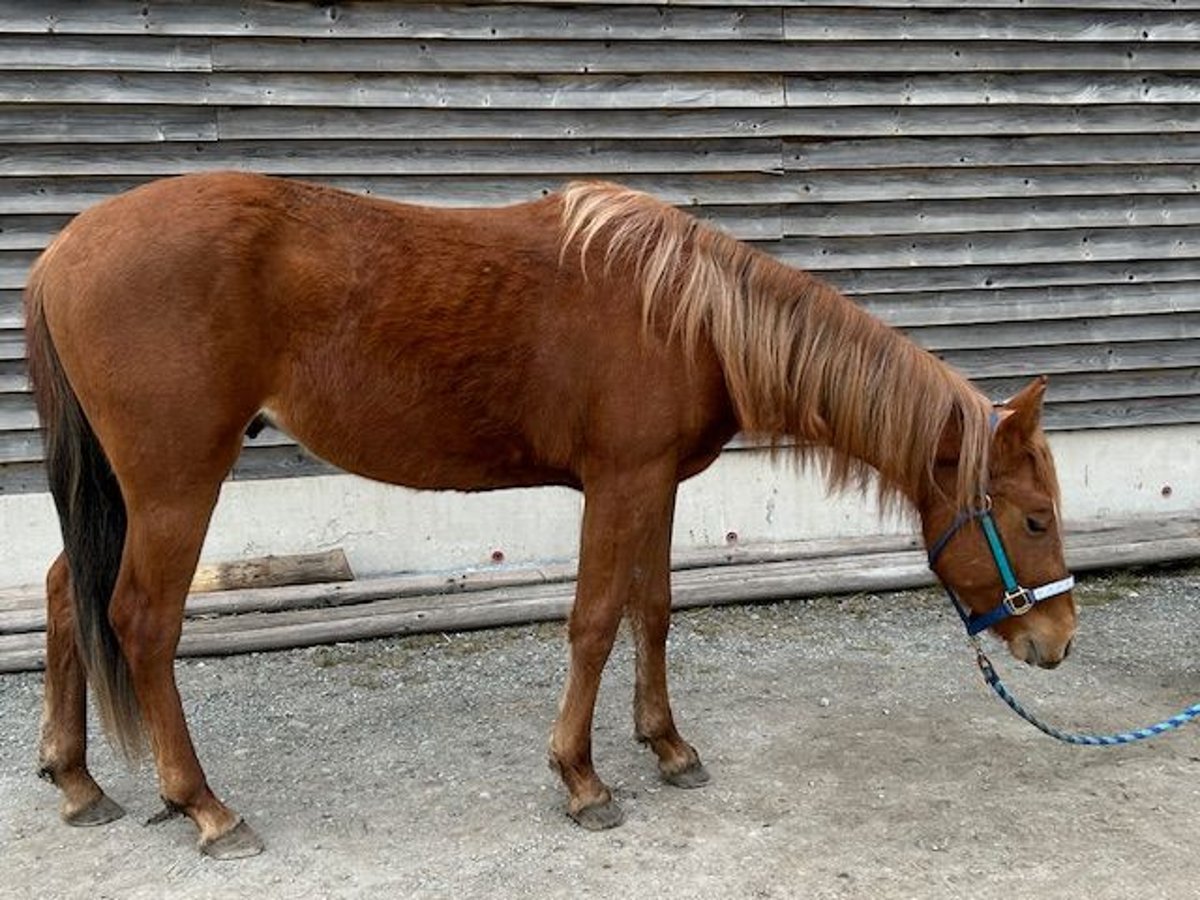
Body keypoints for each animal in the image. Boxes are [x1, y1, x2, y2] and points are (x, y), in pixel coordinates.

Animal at [24, 172, 1077, 858]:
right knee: (142, 622)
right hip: (174, 485)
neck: (687, 314)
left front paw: (668, 746)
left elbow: (654, 613)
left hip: (119, 491)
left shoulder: (657, 485)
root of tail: (66, 247)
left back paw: (78, 782)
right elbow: (595, 622)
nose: (1059, 640)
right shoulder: (620, 484)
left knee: (65, 591)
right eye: (1033, 519)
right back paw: (205, 806)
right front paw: (582, 779)